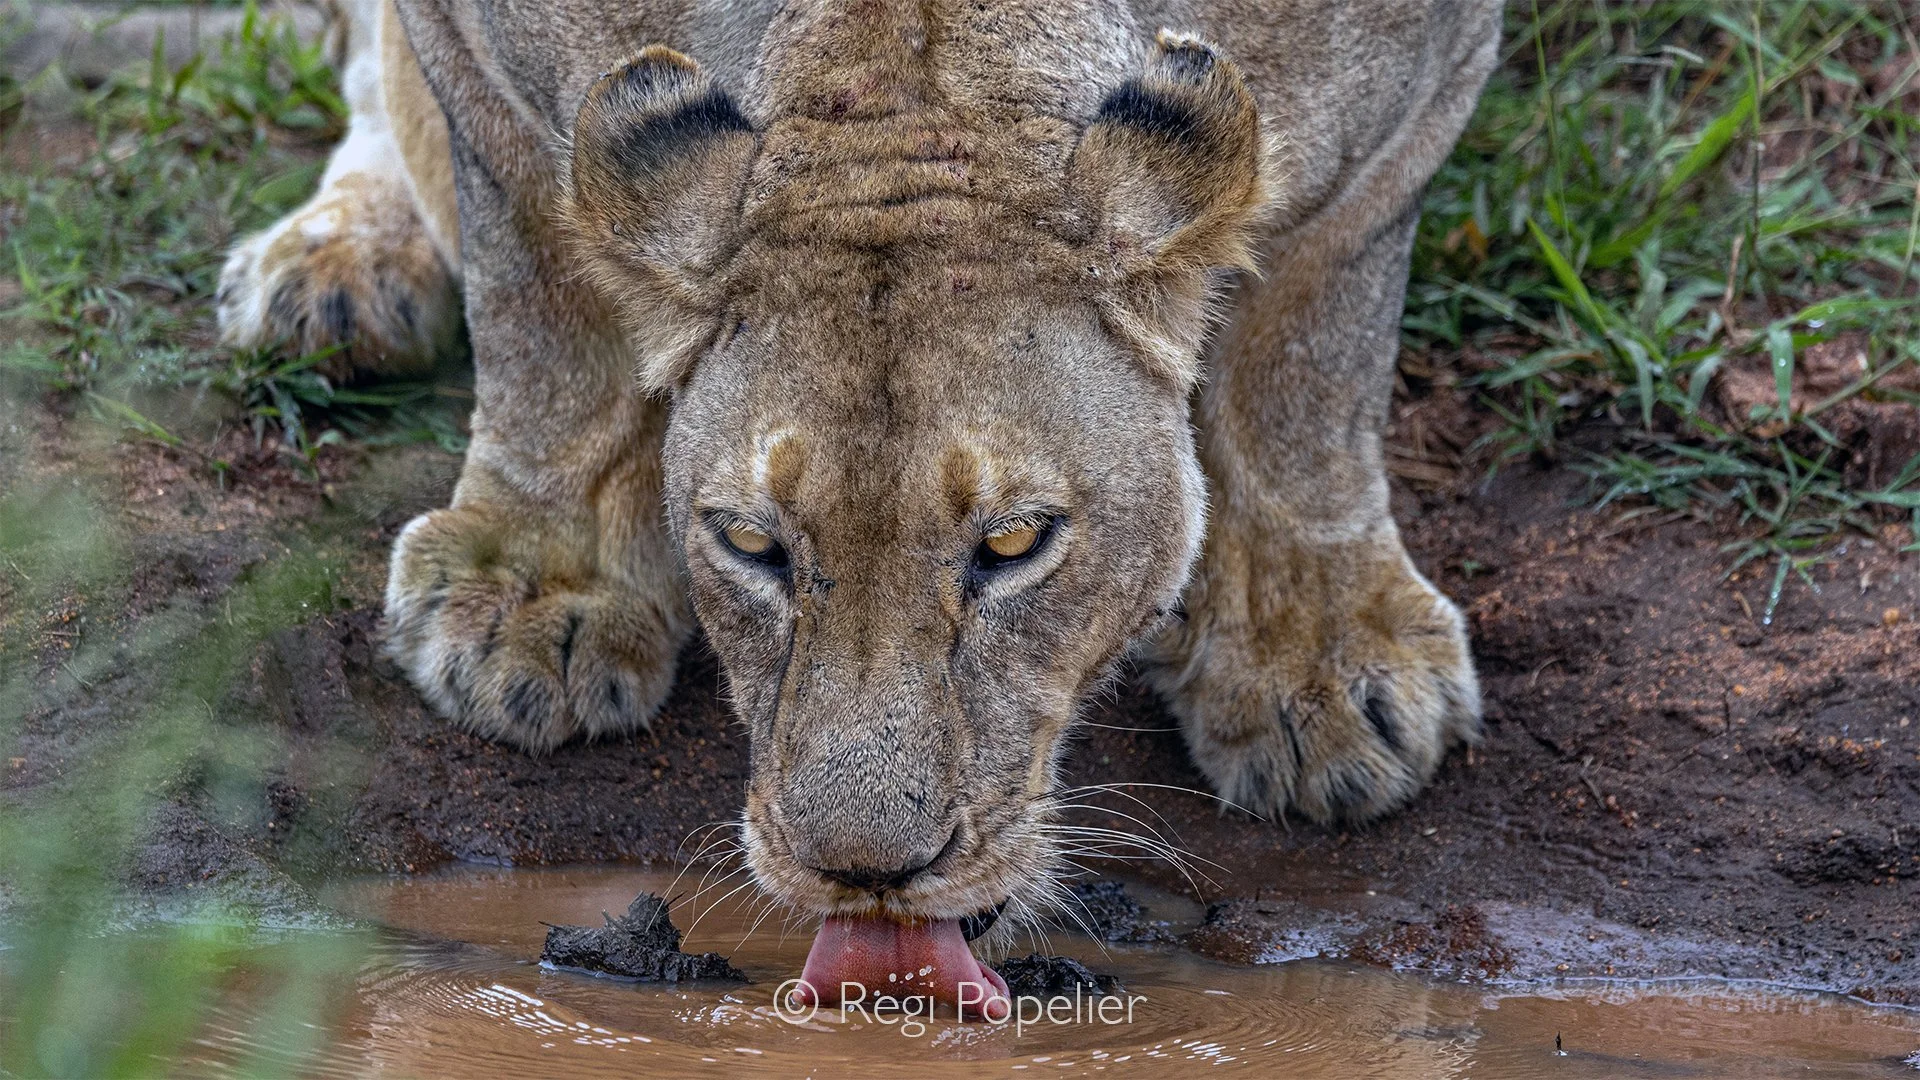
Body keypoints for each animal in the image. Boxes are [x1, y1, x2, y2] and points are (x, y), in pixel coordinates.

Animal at [220, 0, 1501, 1013]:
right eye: (751, 543)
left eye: (1015, 543)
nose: (868, 875)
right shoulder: (484, 51)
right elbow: (541, 291)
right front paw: (535, 596)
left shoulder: (1410, 88)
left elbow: (1308, 348)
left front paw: (1317, 667)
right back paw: (335, 274)